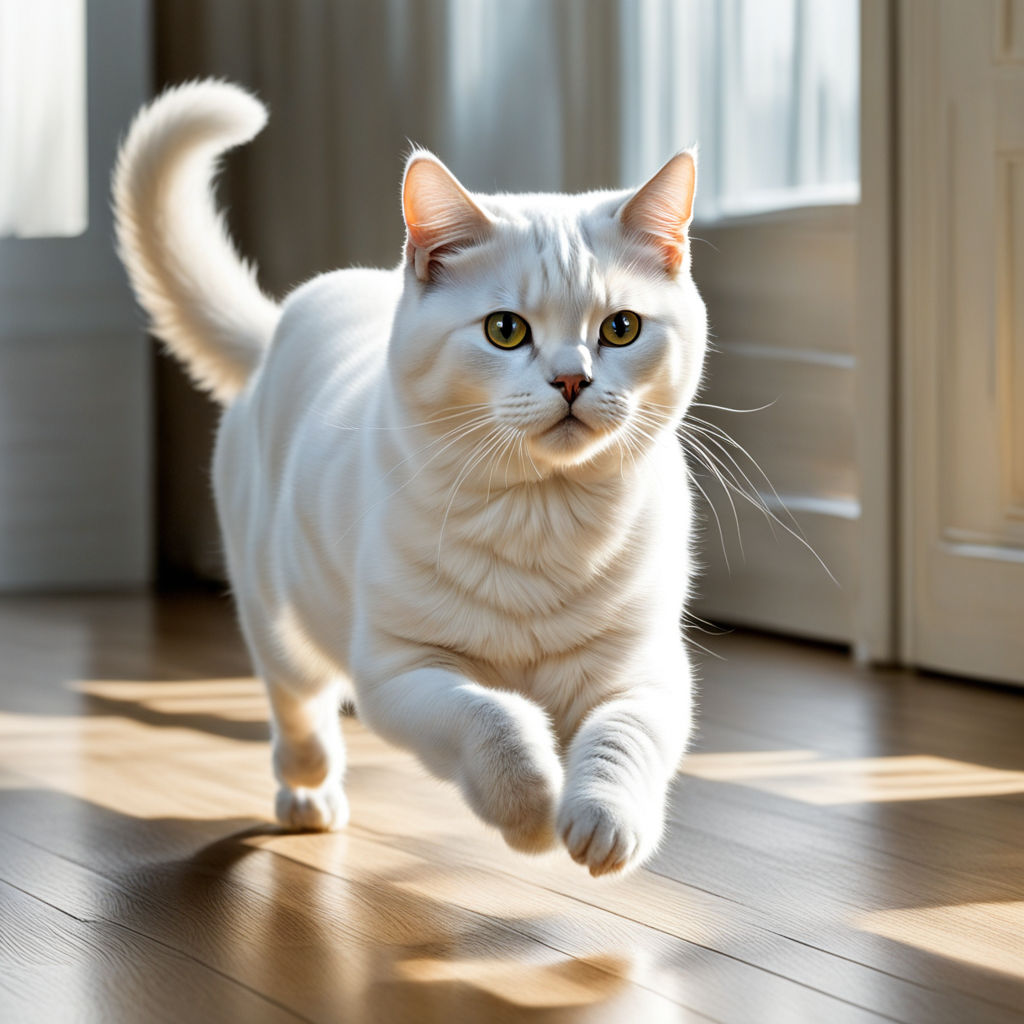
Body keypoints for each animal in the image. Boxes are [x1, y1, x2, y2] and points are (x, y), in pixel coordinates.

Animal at [110, 81, 704, 880]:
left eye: (621, 329)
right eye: (506, 330)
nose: (572, 379)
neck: (540, 517)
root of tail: (277, 329)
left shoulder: (646, 668)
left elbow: (622, 738)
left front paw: (605, 822)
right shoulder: (401, 672)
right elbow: (495, 720)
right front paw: (531, 815)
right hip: (276, 616)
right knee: (298, 709)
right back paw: (308, 796)